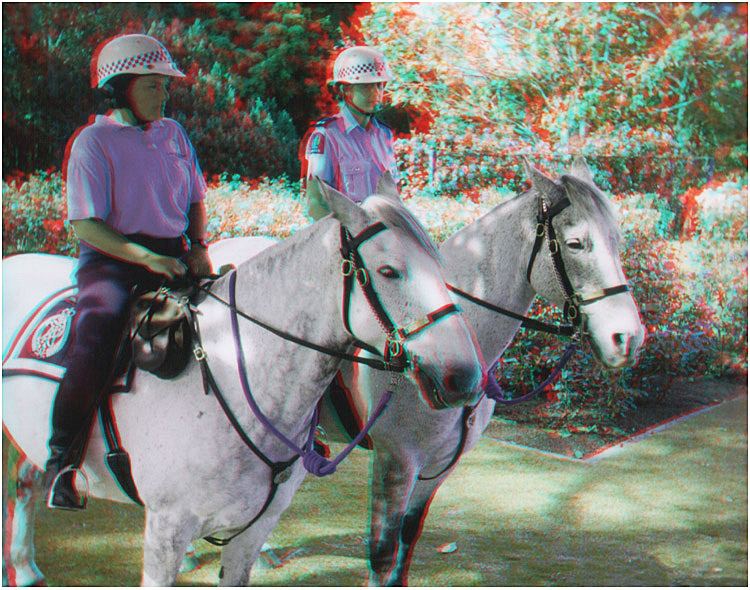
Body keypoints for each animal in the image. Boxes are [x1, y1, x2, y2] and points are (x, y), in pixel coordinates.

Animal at [0, 178, 488, 588]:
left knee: (25, 479)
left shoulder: (251, 534)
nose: (465, 377)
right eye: (389, 271)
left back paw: (24, 565)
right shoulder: (165, 533)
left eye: (440, 266)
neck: (236, 371)